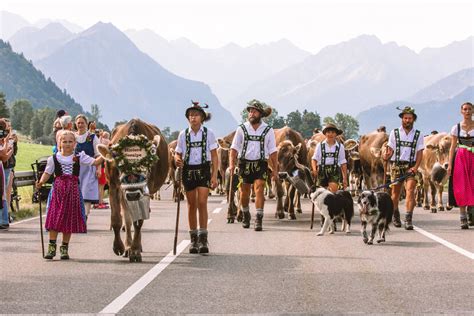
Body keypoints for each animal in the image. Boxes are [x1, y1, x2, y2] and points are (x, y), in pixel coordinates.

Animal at [97, 118, 169, 262]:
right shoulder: (114, 185)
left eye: (145, 164)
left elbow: (139, 221)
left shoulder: (146, 189)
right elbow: (117, 219)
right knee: (127, 217)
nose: (133, 194)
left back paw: (135, 246)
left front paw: (135, 250)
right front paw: (119, 247)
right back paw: (127, 246)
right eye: (120, 165)